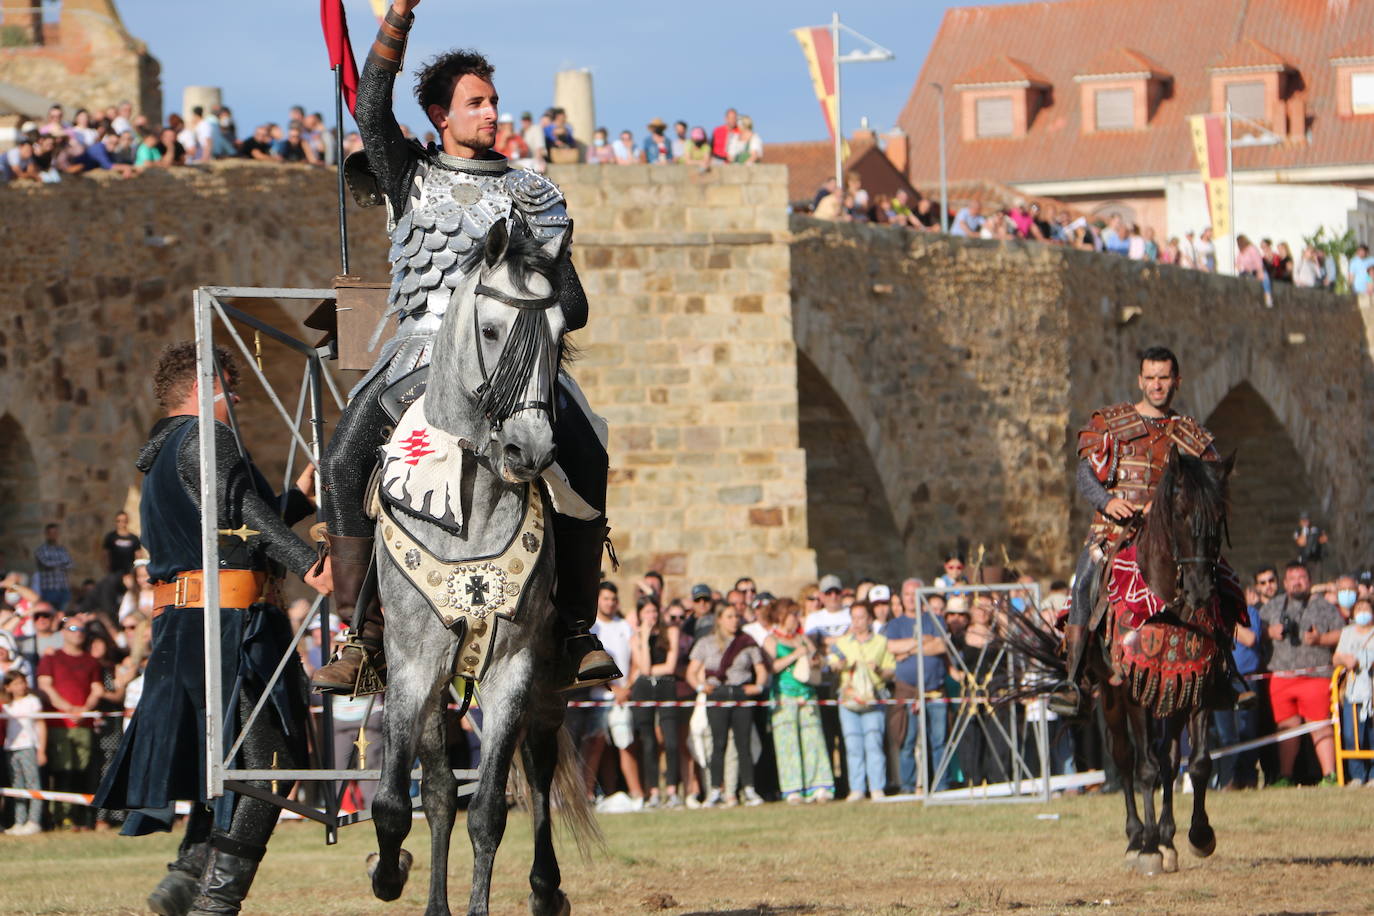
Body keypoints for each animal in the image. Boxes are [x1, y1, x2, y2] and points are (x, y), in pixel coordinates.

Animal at [368, 222, 599, 916]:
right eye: (492, 330)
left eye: (557, 334)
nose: (532, 449)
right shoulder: (414, 665)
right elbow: (397, 802)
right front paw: (389, 874)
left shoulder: (512, 667)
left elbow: (491, 810)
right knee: (441, 788)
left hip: (547, 675)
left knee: (540, 765)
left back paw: (546, 890)